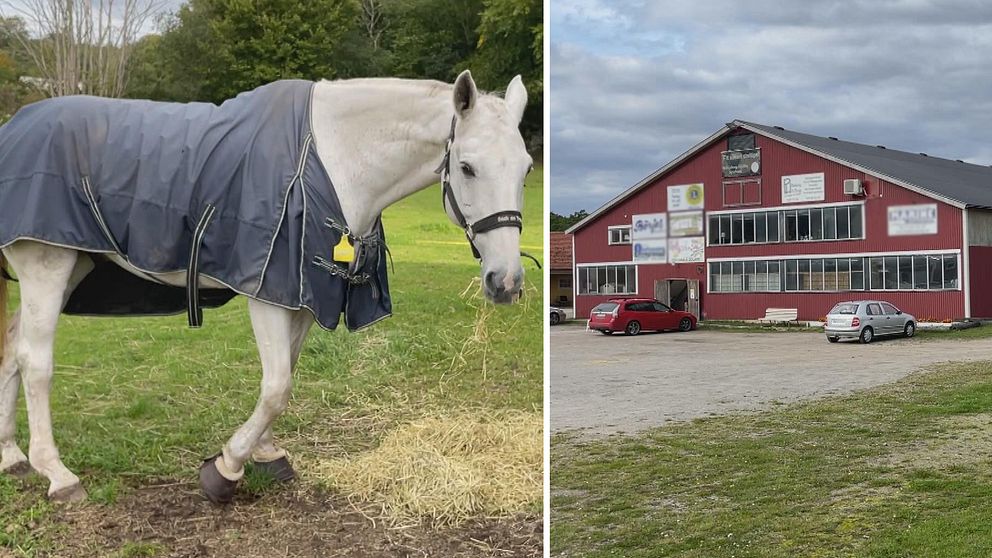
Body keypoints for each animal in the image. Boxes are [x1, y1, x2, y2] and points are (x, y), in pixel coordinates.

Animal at [0, 70, 536, 504]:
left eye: (526, 168)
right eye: (466, 167)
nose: (506, 282)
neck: (335, 159)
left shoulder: (301, 296)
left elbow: (286, 376)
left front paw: (265, 453)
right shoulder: (268, 292)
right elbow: (277, 386)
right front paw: (225, 469)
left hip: (69, 268)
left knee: (11, 351)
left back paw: (12, 457)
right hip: (46, 265)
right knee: (35, 362)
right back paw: (58, 475)